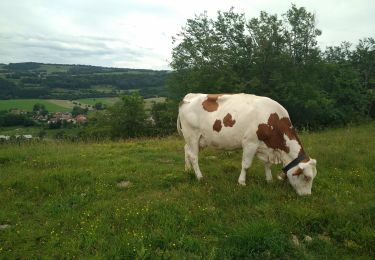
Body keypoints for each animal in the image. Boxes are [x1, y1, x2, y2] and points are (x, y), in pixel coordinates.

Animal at [178, 93, 318, 195]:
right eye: (307, 177)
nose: (307, 195)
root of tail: (190, 96)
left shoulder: (265, 147)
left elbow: (267, 164)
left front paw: (269, 180)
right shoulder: (250, 143)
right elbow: (246, 165)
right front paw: (242, 182)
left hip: (197, 139)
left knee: (186, 150)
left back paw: (187, 170)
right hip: (192, 135)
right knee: (194, 156)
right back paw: (199, 177)